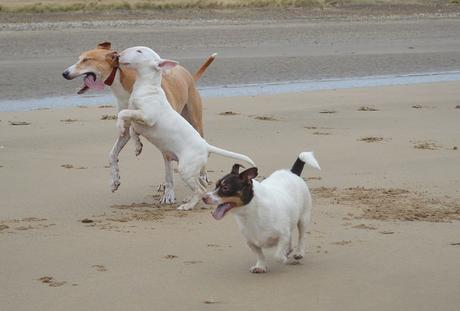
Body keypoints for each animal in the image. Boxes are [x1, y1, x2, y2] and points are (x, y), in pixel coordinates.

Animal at [61, 42, 217, 205]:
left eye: (86, 60)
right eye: (80, 58)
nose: (64, 73)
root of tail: (186, 72)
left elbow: (168, 170)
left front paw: (169, 193)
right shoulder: (129, 126)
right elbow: (114, 152)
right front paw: (115, 179)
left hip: (195, 121)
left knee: (198, 147)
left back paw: (201, 176)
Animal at [117, 45, 255, 212]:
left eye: (139, 51)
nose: (118, 55)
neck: (147, 87)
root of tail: (206, 146)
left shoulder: (148, 117)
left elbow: (123, 113)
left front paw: (120, 126)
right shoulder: (139, 120)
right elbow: (132, 128)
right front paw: (137, 146)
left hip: (185, 168)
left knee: (200, 189)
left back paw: (188, 205)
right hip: (190, 169)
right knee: (201, 186)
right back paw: (190, 199)